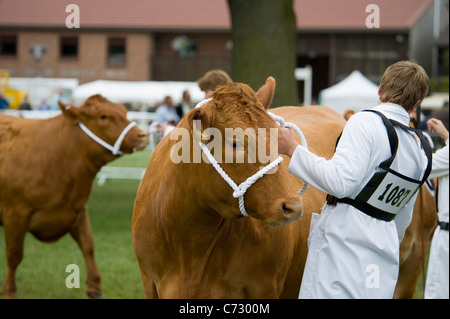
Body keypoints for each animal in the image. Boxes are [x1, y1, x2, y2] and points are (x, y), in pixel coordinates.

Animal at [0, 94, 151, 298]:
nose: (142, 135)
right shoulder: (15, 214)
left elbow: (88, 245)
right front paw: (9, 291)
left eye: (124, 111)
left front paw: (94, 286)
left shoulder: (77, 209)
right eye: (103, 116)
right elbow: (14, 255)